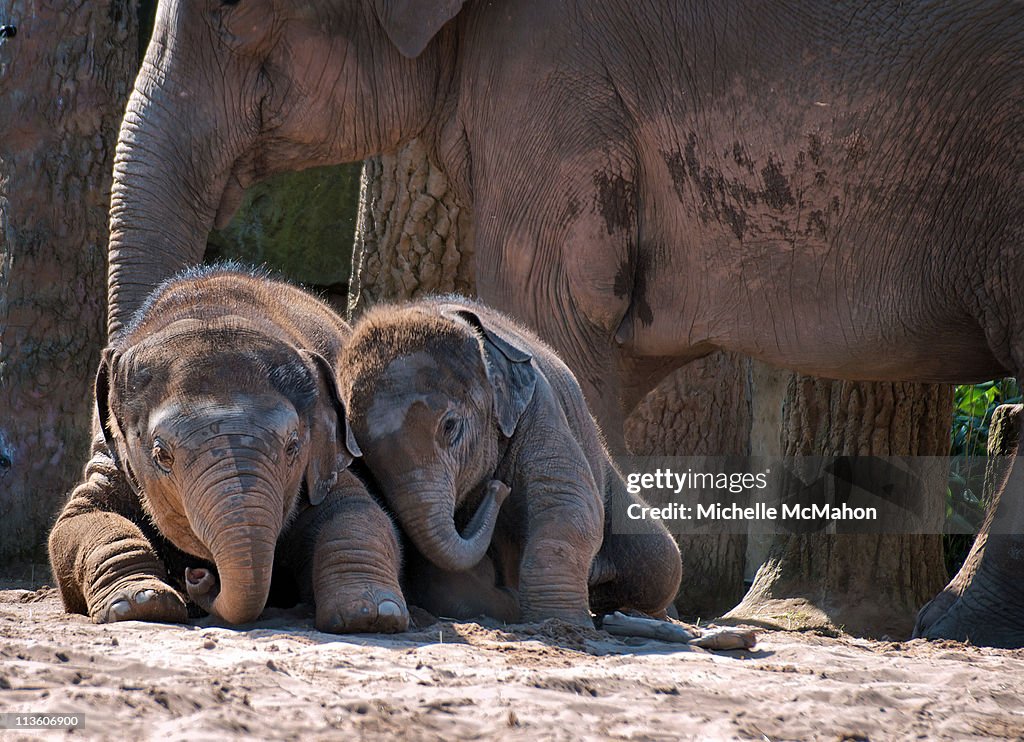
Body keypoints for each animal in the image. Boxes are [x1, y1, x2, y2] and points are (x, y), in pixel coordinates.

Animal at [48, 264, 407, 630]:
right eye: (161, 454)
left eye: (293, 446)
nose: (197, 576)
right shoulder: (110, 456)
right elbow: (77, 522)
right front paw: (141, 603)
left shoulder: (326, 456)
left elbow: (357, 511)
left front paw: (369, 615)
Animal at [339, 294, 684, 626]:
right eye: (368, 460)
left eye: (450, 426)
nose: (499, 488)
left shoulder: (540, 406)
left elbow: (568, 501)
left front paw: (560, 622)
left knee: (661, 562)